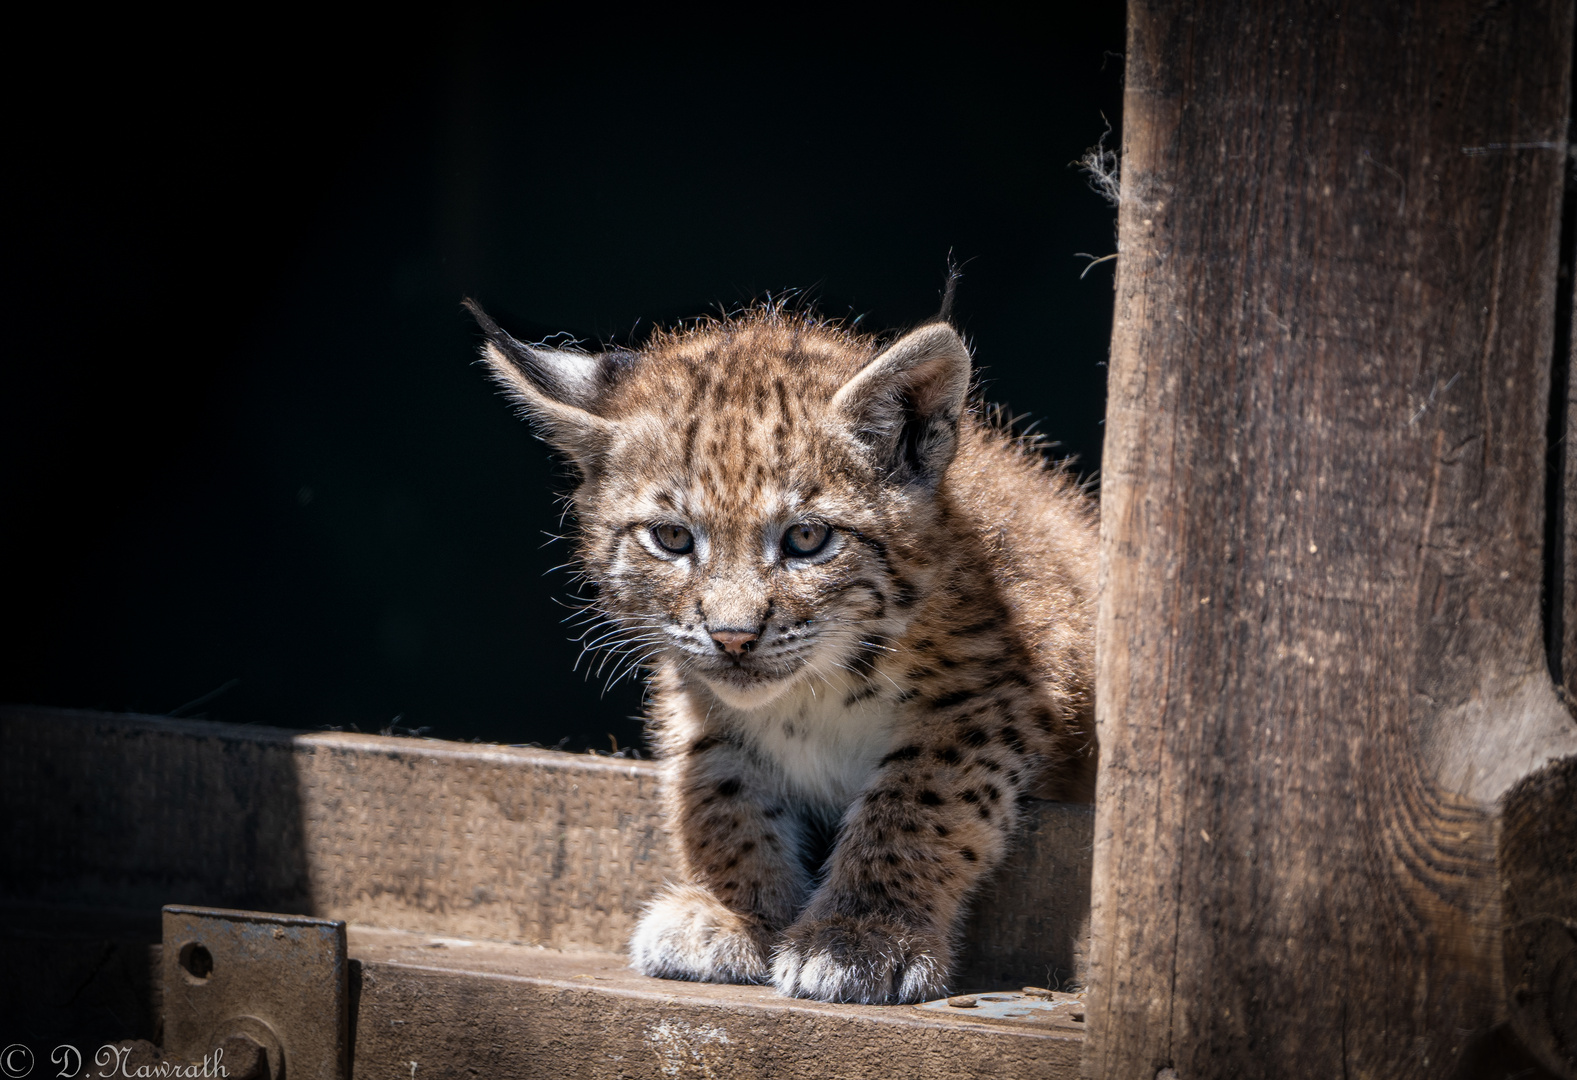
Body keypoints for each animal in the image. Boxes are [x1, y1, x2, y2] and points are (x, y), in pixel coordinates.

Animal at [466, 296, 1097, 1002]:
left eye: (806, 539)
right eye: (671, 538)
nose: (733, 637)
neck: (818, 689)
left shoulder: (1004, 688)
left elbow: (916, 799)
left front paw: (861, 936)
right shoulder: (697, 694)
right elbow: (719, 797)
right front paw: (742, 916)